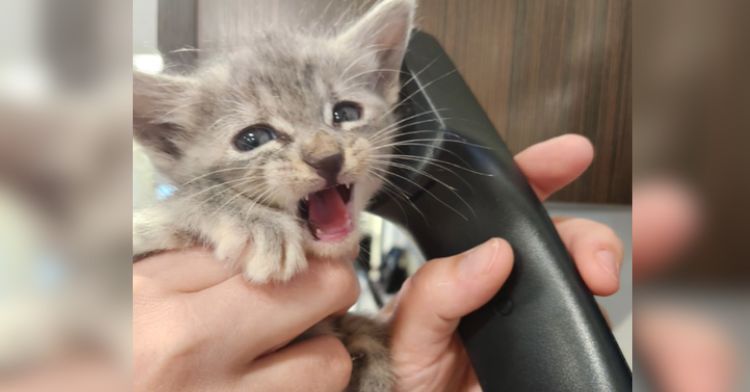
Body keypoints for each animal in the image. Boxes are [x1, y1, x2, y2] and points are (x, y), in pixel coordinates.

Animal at [134, 0, 418, 388]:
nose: (327, 158)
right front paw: (258, 226)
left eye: (345, 112)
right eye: (253, 138)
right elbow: (192, 195)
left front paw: (369, 355)